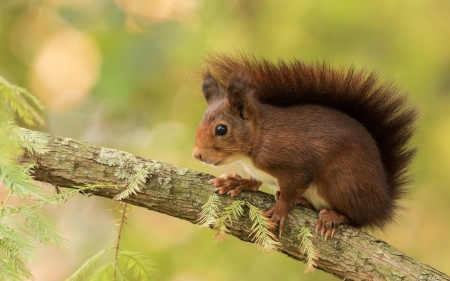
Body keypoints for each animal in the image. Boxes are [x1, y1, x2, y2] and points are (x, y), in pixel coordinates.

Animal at [192, 52, 416, 236]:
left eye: (221, 129)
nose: (197, 155)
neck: (257, 139)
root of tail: (383, 203)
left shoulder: (297, 164)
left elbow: (292, 188)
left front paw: (279, 211)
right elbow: (255, 181)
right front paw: (237, 182)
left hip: (342, 180)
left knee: (358, 219)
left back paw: (334, 216)